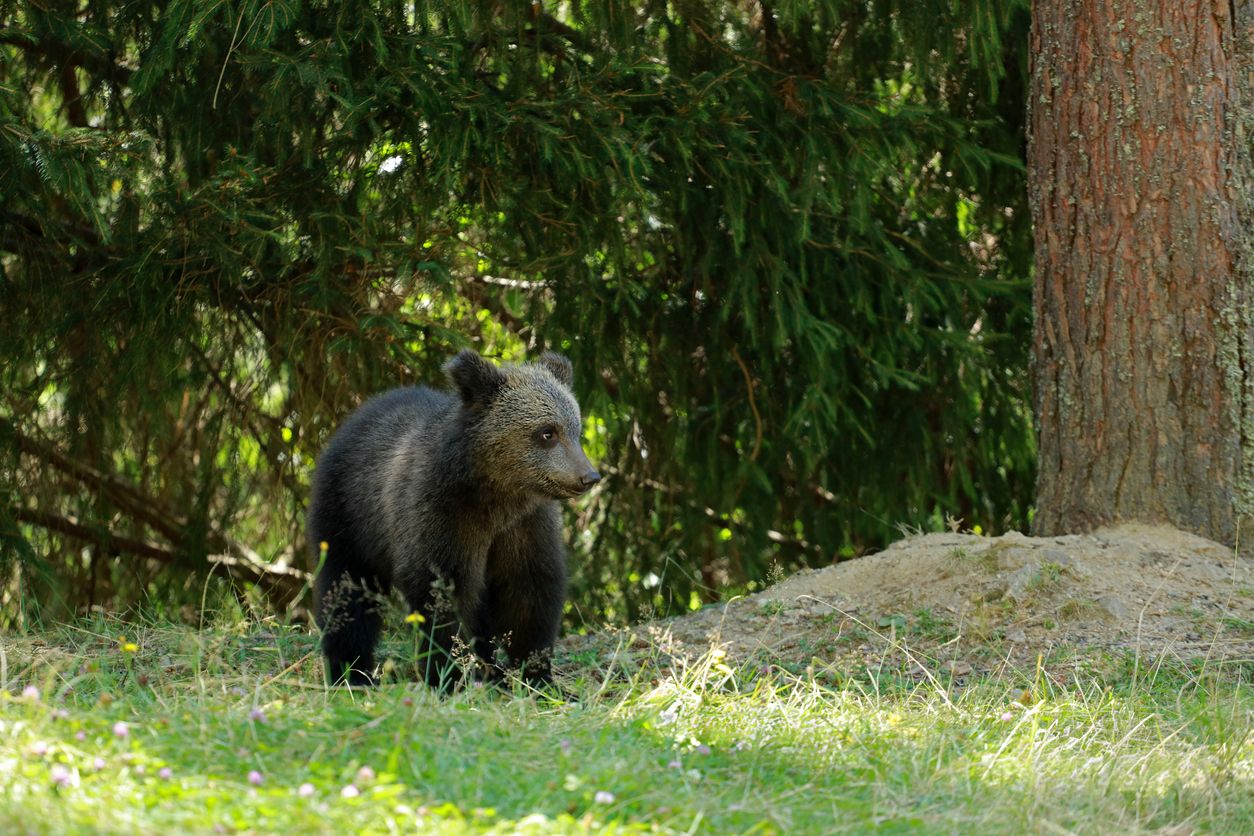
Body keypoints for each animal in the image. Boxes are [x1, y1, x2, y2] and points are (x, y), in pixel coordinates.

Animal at [308, 349, 600, 690]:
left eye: (576, 429)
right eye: (547, 432)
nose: (588, 476)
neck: (496, 495)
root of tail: (358, 414)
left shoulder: (525, 527)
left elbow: (530, 593)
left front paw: (538, 675)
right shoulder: (441, 518)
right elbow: (442, 595)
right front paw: (446, 675)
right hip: (348, 516)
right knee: (345, 592)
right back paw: (351, 670)